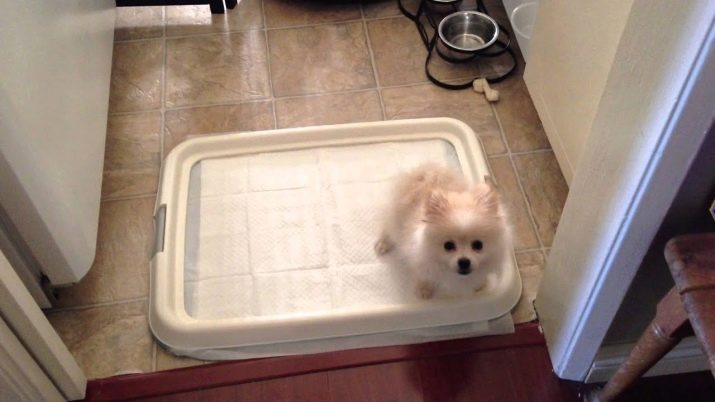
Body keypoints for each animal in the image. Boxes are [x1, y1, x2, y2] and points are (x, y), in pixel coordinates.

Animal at [375, 163, 511, 299]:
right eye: (448, 245)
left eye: (478, 245)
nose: (464, 262)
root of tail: (426, 172)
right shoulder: (421, 260)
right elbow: (425, 277)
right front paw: (424, 290)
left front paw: (480, 285)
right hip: (395, 219)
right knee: (388, 231)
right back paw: (382, 244)